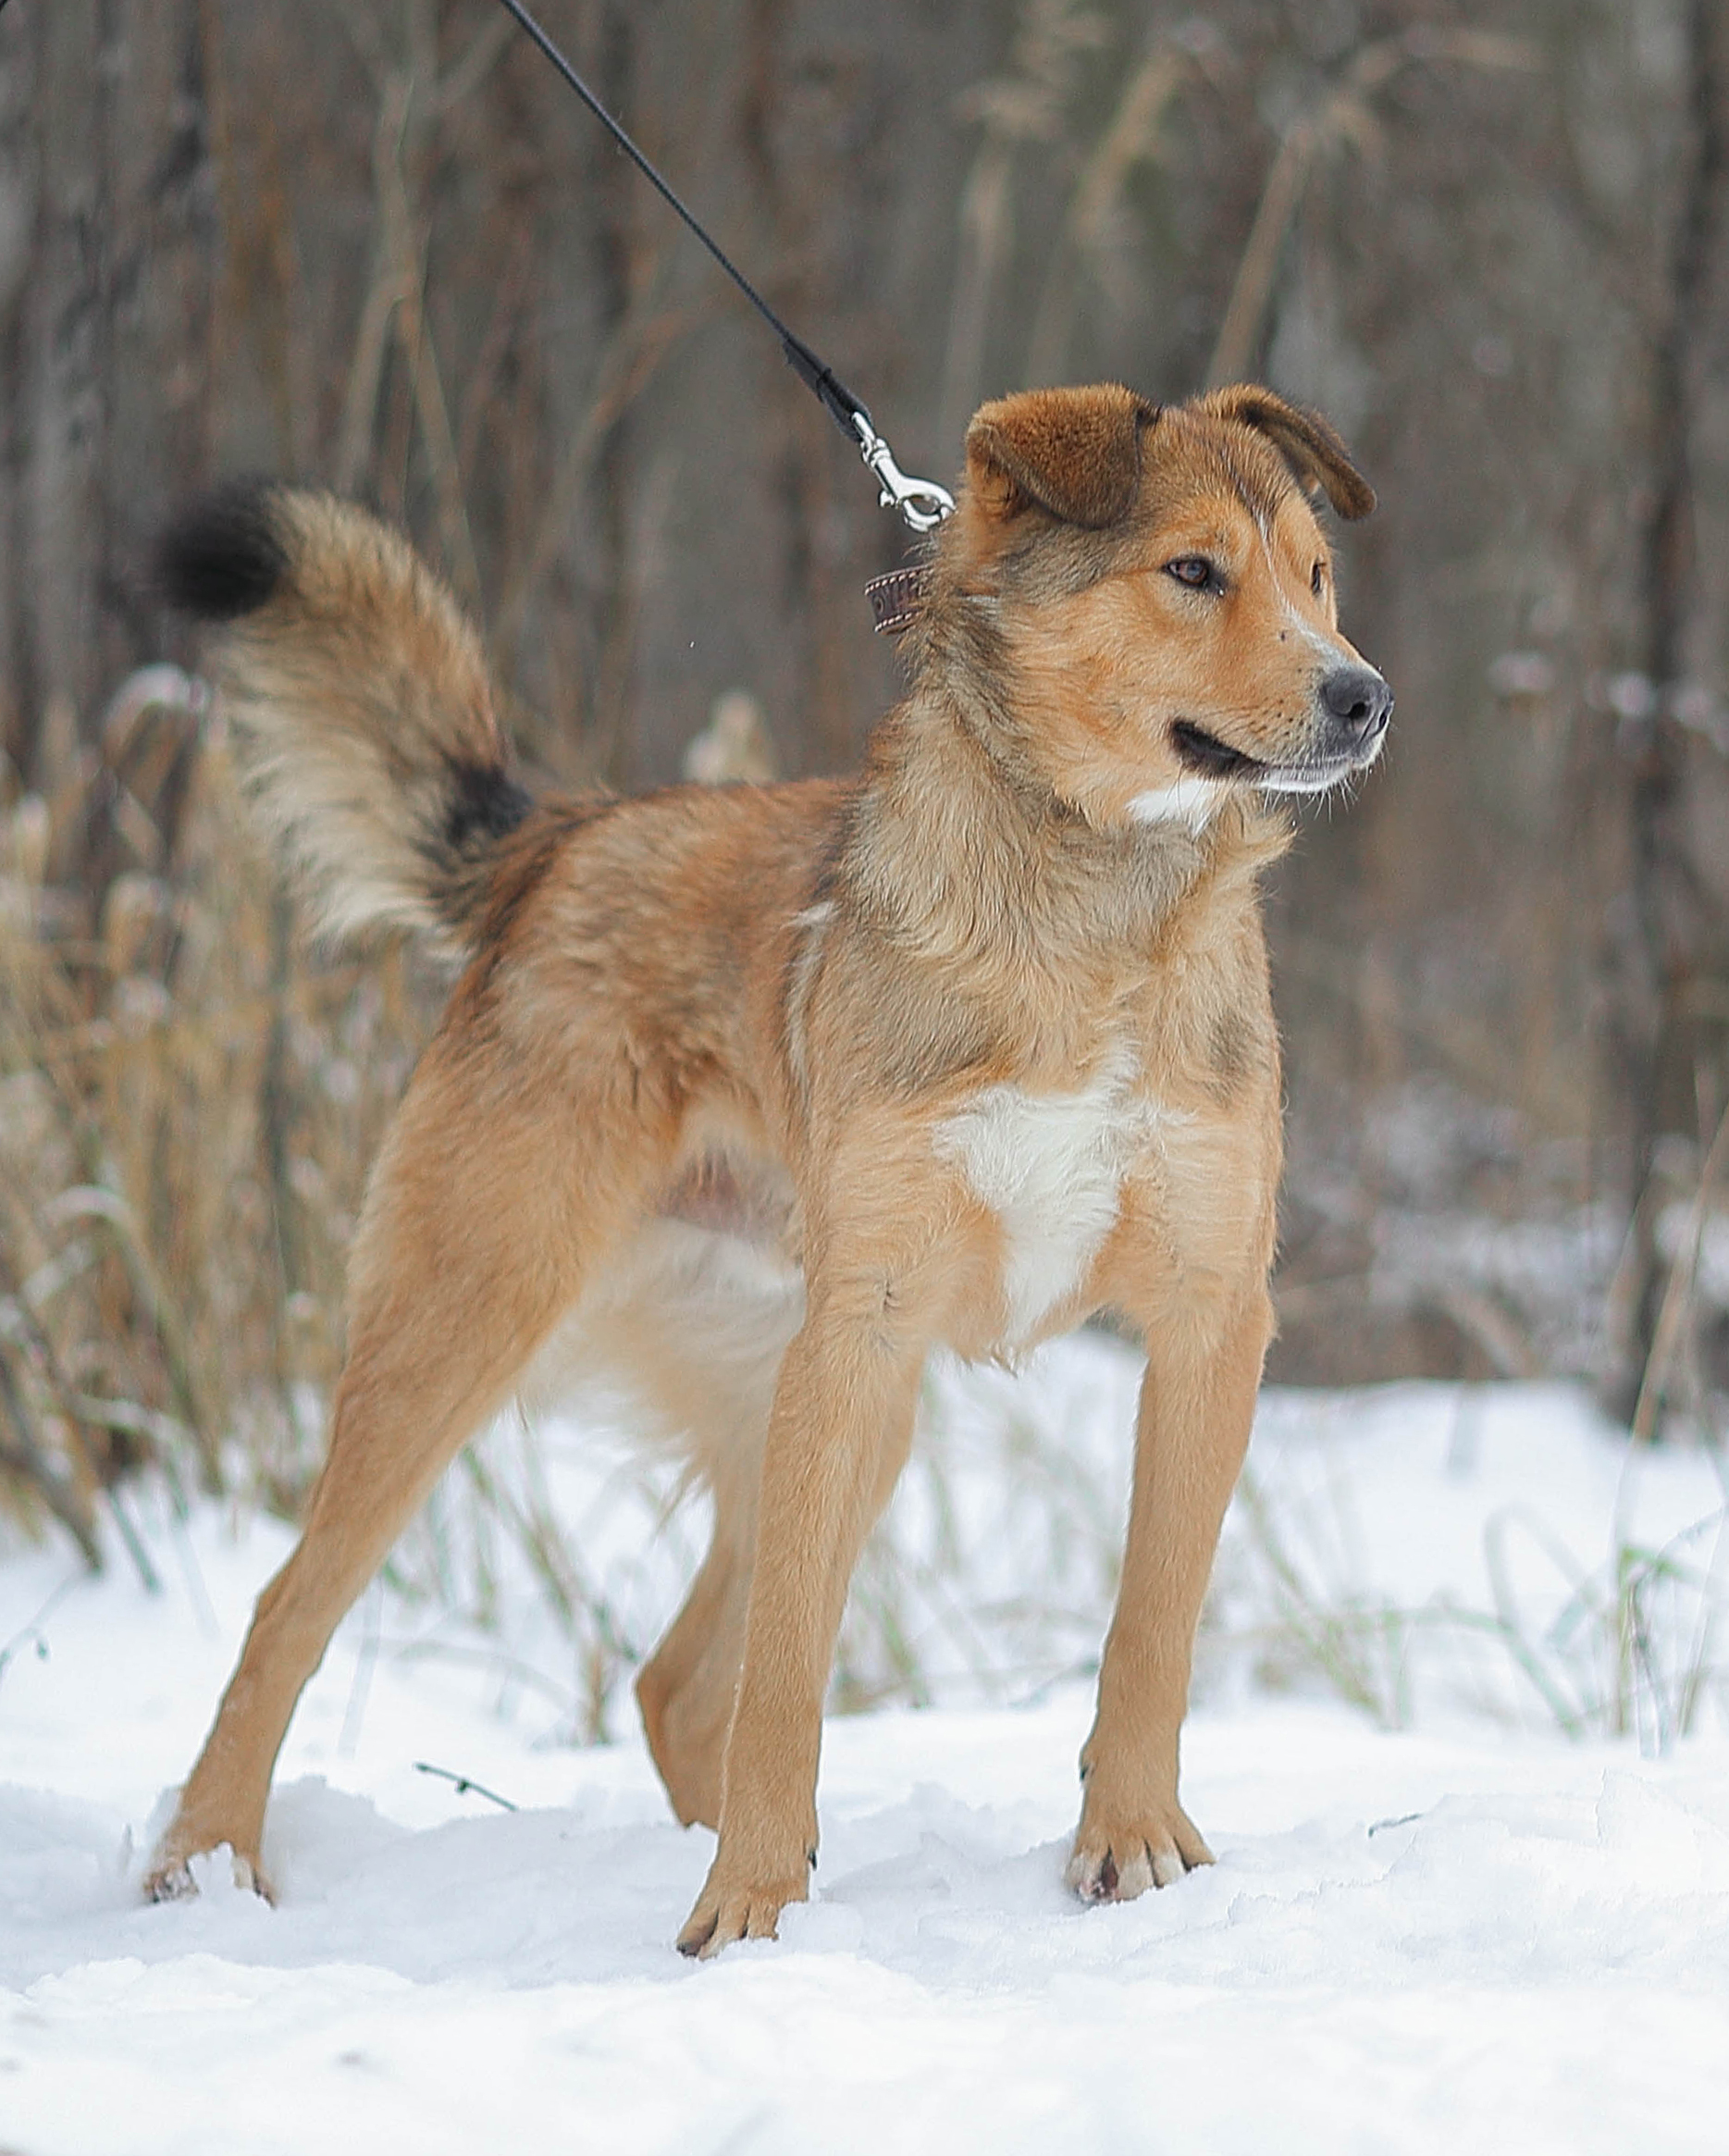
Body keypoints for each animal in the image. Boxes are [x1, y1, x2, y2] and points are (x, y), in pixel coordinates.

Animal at [144, 383, 1388, 1957]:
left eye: (1317, 574)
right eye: (1192, 570)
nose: (1363, 696)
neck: (1087, 907)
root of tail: (561, 841)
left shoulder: (1208, 1318)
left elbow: (1148, 1627)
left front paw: (1131, 1850)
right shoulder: (857, 1334)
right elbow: (790, 1674)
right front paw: (745, 1914)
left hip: (804, 1392)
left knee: (675, 1682)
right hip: (480, 1327)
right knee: (289, 1611)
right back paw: (202, 1865)